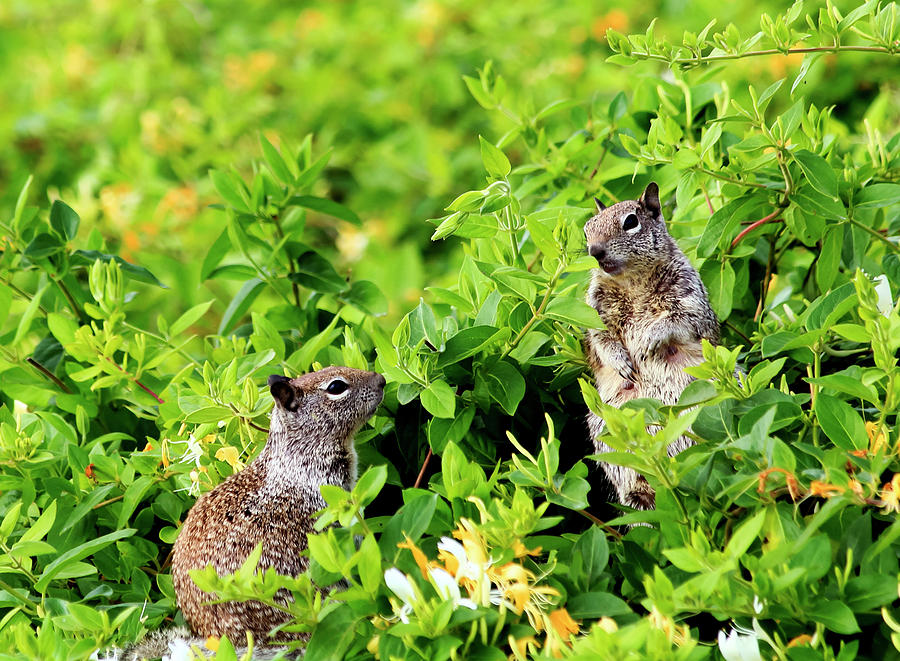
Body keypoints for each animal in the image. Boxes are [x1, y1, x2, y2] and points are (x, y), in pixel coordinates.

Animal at [584, 182, 716, 510]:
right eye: (587, 229)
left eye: (631, 221)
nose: (594, 251)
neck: (633, 281)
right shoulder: (593, 313)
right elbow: (601, 341)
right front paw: (620, 361)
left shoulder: (691, 300)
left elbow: (679, 321)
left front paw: (647, 341)